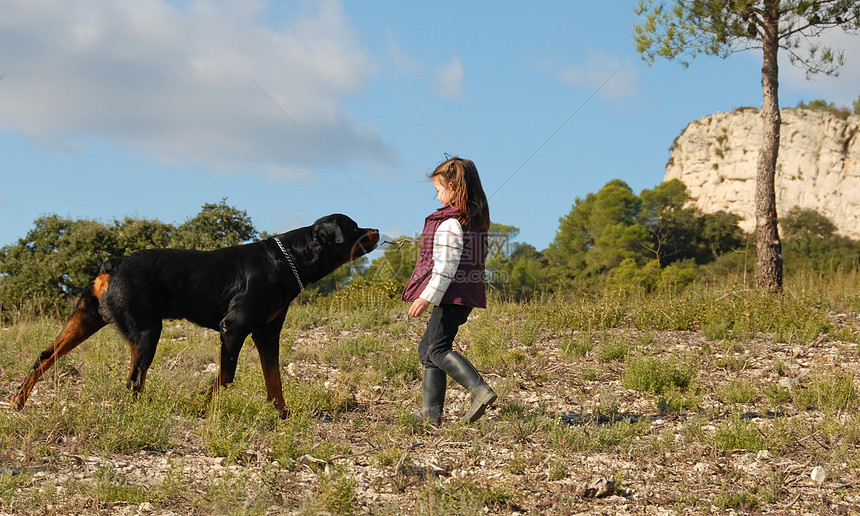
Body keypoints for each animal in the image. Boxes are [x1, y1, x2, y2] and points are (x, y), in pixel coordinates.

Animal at [14, 214, 380, 416]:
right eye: (353, 226)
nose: (376, 230)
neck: (290, 258)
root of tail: (112, 263)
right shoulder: (233, 328)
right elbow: (226, 378)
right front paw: (199, 406)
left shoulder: (267, 333)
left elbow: (274, 379)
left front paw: (282, 414)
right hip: (147, 332)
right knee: (134, 380)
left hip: (86, 321)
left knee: (44, 357)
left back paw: (19, 400)